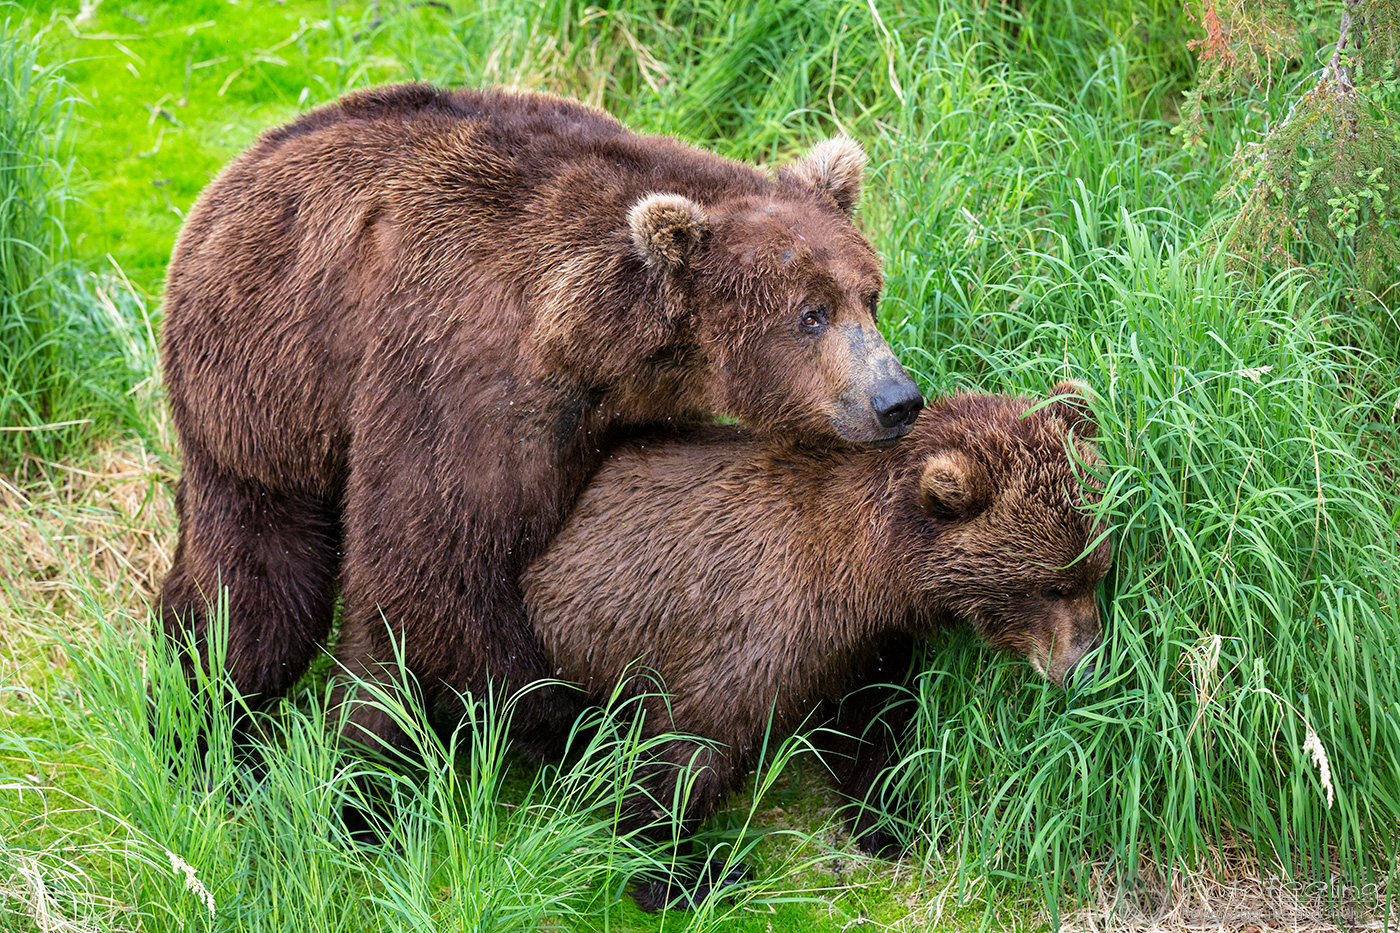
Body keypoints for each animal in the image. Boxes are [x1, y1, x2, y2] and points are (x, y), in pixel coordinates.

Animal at [156, 82, 924, 760]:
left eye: (869, 296)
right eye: (809, 315)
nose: (896, 399)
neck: (592, 337)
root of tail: (232, 175)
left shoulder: (618, 404)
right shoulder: (465, 375)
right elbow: (433, 563)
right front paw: (565, 716)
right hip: (264, 381)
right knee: (259, 587)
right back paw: (213, 715)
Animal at [520, 383, 1112, 911]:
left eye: (1096, 571)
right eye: (1047, 586)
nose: (1086, 667)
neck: (862, 577)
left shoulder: (863, 647)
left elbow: (871, 729)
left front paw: (887, 821)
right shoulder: (752, 623)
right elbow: (690, 744)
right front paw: (683, 872)